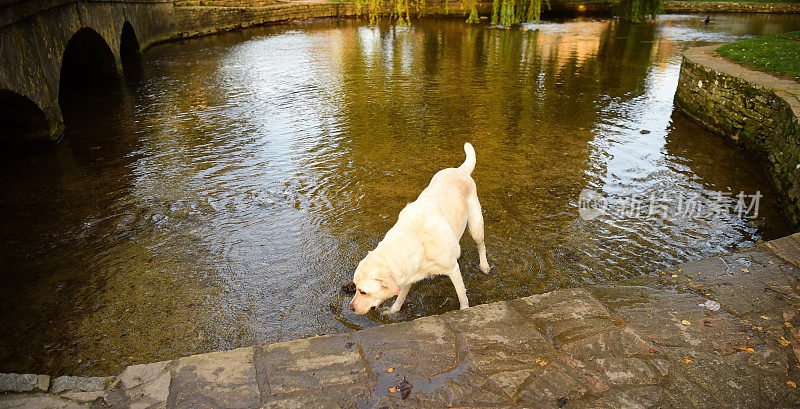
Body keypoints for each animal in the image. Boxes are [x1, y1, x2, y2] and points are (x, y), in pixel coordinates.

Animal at [348, 142, 490, 314]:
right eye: (355, 287)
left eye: (363, 291)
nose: (350, 307)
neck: (416, 242)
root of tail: (459, 170)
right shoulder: (408, 275)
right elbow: (400, 297)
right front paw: (393, 311)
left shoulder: (453, 270)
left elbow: (462, 295)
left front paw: (464, 310)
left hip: (476, 224)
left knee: (481, 244)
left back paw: (484, 265)